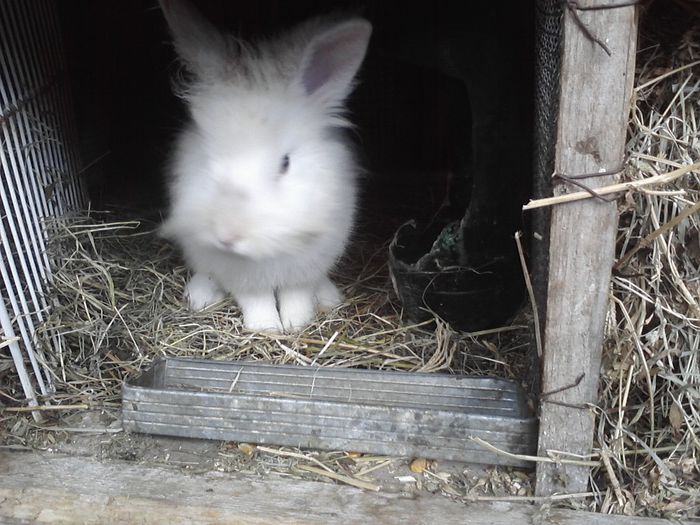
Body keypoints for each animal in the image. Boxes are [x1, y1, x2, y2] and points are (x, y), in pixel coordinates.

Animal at [159, 1, 372, 332]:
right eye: (208, 156)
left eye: (285, 163)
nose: (228, 235)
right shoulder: (240, 276)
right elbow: (255, 299)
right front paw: (267, 328)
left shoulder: (308, 263)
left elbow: (297, 294)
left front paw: (296, 324)